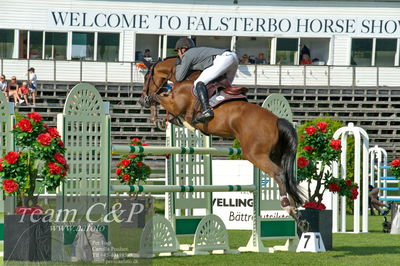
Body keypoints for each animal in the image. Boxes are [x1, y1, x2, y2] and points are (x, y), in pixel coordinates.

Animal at [139, 56, 308, 231]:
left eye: (146, 77)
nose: (141, 100)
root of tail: (277, 120)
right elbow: (173, 116)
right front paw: (163, 120)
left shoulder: (175, 103)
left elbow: (158, 97)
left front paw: (154, 114)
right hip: (275, 155)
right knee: (286, 176)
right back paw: (299, 217)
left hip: (255, 155)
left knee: (279, 174)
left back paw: (288, 207)